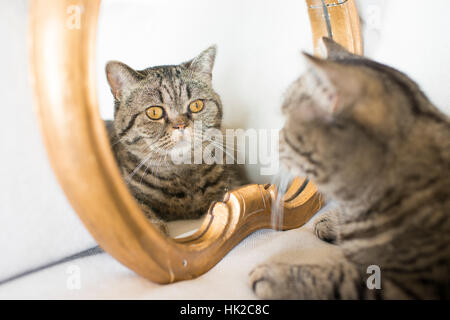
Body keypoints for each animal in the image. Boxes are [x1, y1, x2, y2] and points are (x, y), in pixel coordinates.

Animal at [250, 38, 450, 298]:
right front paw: (332, 223)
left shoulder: (404, 286)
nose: (277, 136)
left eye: (287, 118)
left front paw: (277, 277)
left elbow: (337, 280)